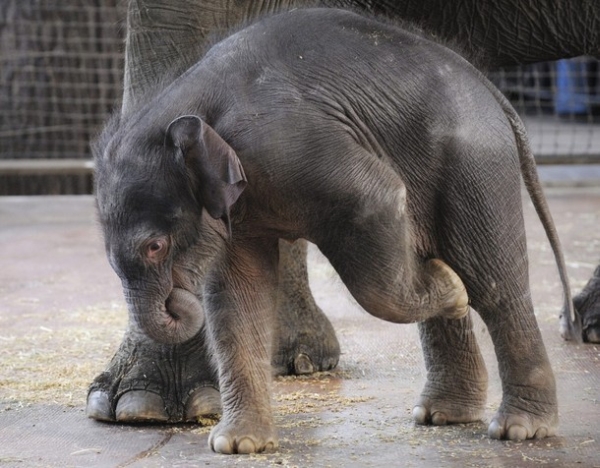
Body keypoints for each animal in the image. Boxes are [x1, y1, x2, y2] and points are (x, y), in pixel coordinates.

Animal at [86, 0, 600, 424]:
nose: (177, 297)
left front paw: (449, 287)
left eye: (155, 246)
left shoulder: (286, 144)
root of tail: (497, 97)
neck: (189, 103)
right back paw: (443, 414)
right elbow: (237, 294)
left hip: (474, 162)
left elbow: (377, 198)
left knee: (493, 283)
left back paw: (520, 426)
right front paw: (240, 442)